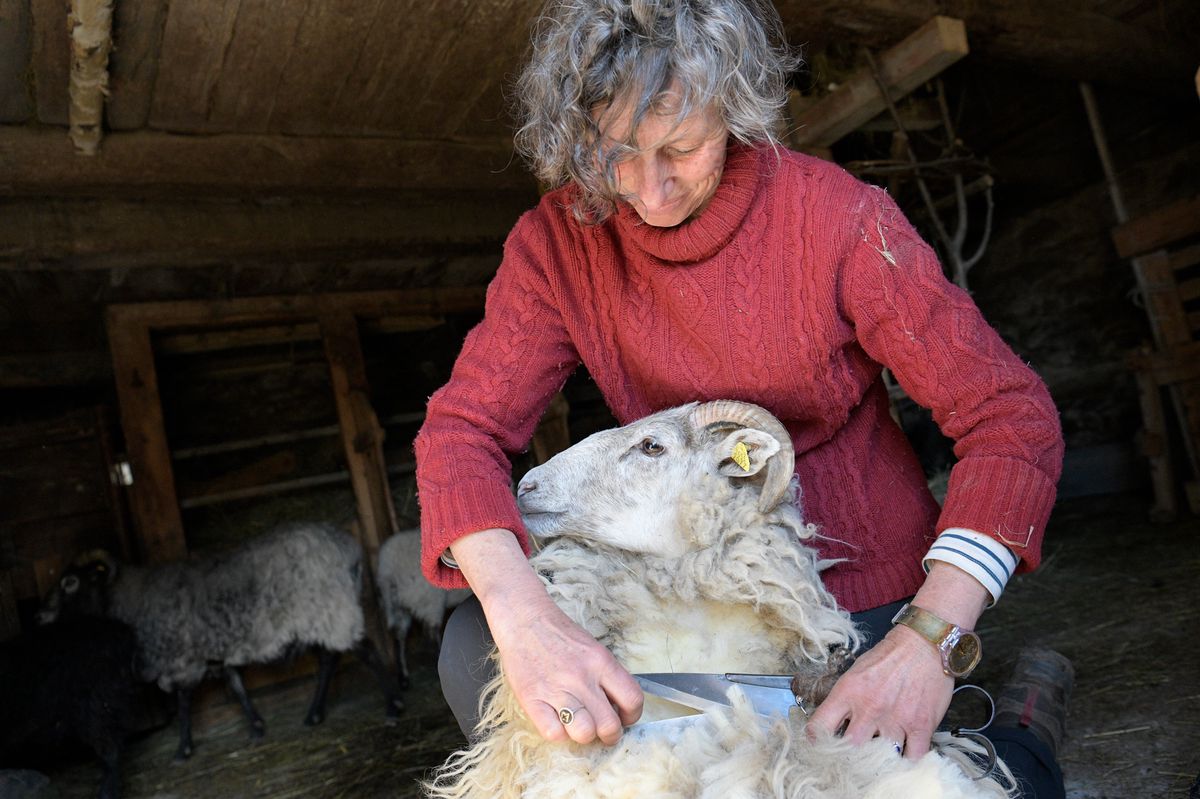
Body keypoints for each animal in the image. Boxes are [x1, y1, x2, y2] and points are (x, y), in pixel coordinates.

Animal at [38, 521, 404, 761]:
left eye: (70, 583)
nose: (40, 616)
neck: (132, 602)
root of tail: (347, 546)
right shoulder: (219, 654)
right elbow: (236, 685)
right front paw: (256, 727)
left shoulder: (182, 661)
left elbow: (184, 702)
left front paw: (183, 749)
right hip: (317, 618)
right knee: (329, 660)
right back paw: (314, 714)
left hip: (330, 609)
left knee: (366, 651)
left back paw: (393, 705)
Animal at [375, 528, 472, 688]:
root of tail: (388, 572)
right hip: (430, 601)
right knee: (432, 631)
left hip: (399, 606)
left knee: (399, 635)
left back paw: (404, 677)